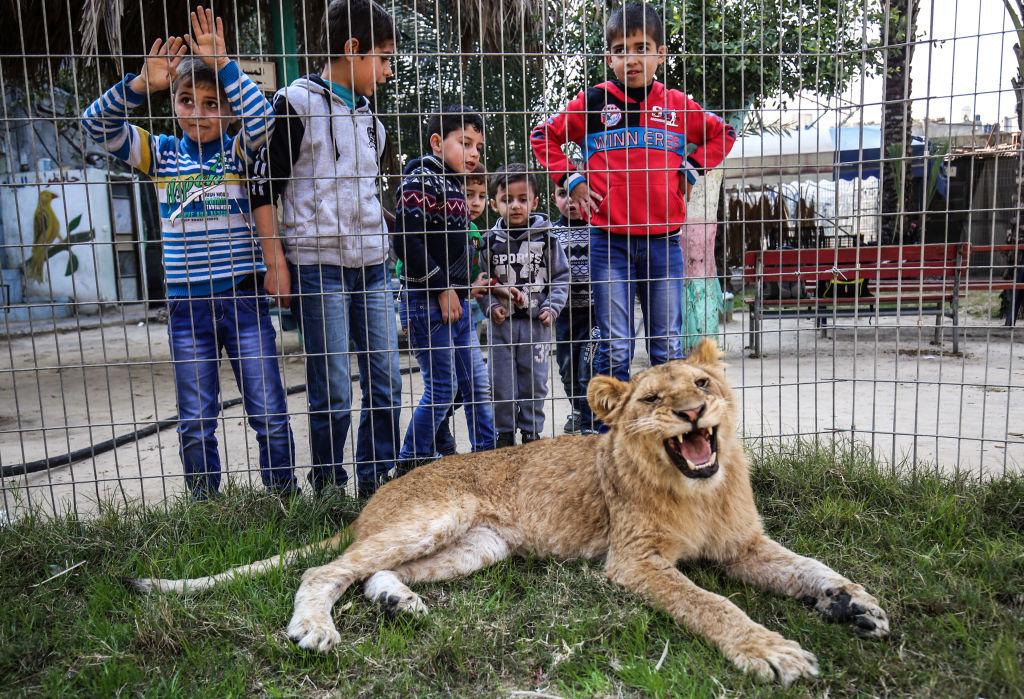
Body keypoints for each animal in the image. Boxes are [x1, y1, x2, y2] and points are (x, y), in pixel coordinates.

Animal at [132, 339, 888, 686]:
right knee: (326, 570)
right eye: (650, 399)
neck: (698, 488)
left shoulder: (745, 544)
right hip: (440, 511)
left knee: (368, 575)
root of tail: (375, 495)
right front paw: (772, 651)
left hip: (480, 545)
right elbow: (711, 603)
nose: (692, 411)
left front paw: (854, 603)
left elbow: (806, 563)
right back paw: (315, 629)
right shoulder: (633, 561)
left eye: (703, 383)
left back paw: (401, 604)